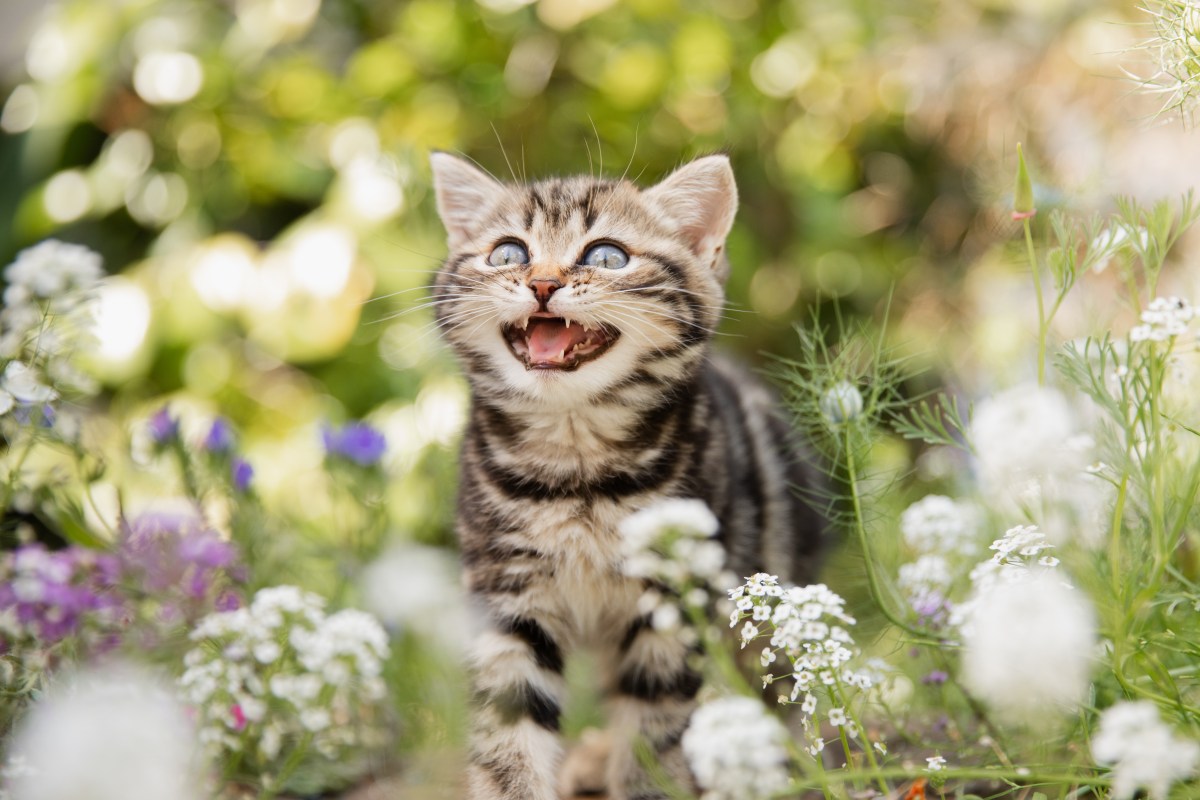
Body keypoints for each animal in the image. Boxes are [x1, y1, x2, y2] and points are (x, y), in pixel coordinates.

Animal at [429, 151, 825, 800]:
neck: (576, 469)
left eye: (606, 256)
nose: (542, 284)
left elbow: (654, 730)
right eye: (508, 253)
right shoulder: (507, 593)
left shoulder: (674, 604)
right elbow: (509, 728)